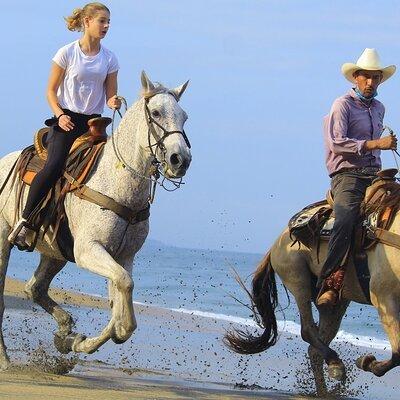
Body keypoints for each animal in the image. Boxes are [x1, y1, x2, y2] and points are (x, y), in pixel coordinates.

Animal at [0, 72, 192, 368]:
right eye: (157, 113)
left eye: (184, 116)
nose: (180, 160)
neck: (117, 182)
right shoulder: (88, 250)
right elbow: (124, 290)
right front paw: (82, 340)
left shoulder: (123, 256)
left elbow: (121, 312)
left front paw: (73, 341)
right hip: (4, 239)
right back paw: (5, 360)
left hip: (55, 251)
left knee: (35, 288)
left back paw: (65, 328)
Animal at [223, 203, 400, 394]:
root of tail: (276, 243)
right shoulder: (383, 297)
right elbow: (398, 352)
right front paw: (367, 362)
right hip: (298, 280)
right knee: (307, 330)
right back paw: (336, 365)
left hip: (335, 304)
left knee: (315, 349)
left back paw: (326, 389)